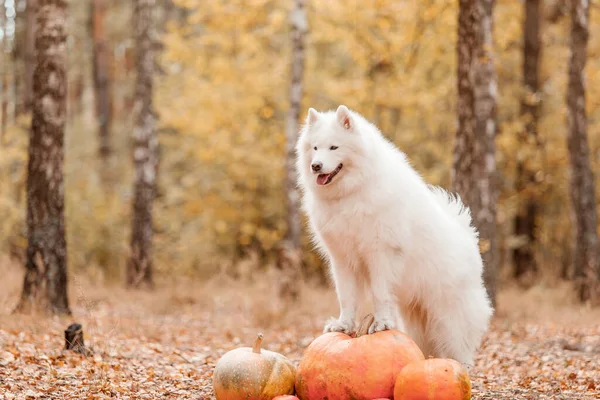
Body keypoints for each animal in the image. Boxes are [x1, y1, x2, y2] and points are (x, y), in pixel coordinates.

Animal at [294, 104, 492, 364]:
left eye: (334, 147)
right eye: (315, 148)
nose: (315, 165)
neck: (351, 193)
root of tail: (467, 235)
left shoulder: (381, 253)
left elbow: (379, 294)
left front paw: (381, 324)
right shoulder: (342, 259)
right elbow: (346, 297)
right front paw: (343, 326)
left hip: (449, 317)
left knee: (460, 349)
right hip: (417, 318)